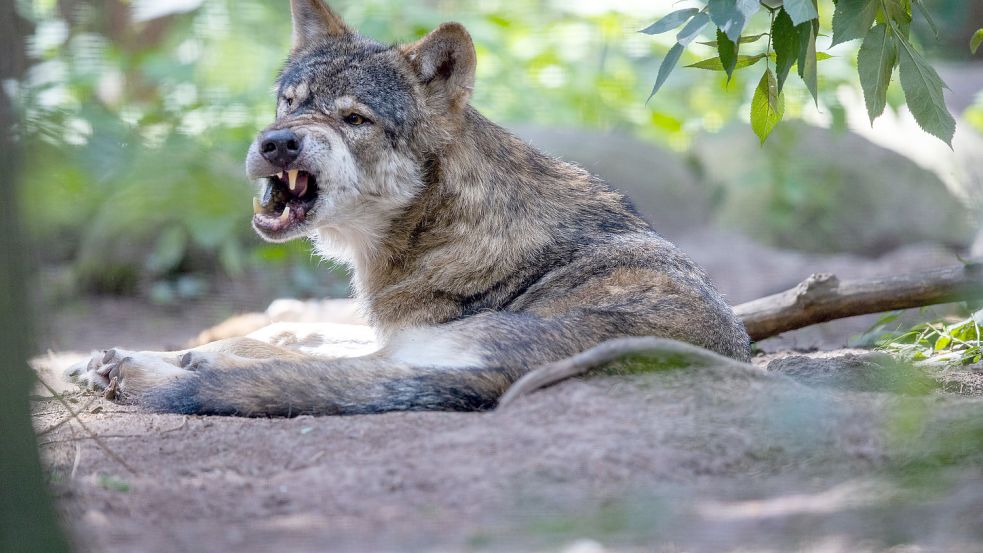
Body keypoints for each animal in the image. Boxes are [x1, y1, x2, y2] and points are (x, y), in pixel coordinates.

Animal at [65, 0, 748, 414]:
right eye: (291, 101)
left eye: (354, 119)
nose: (279, 142)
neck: (436, 225)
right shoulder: (392, 332)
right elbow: (304, 333)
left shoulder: (405, 339)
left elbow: (294, 350)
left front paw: (173, 358)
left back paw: (154, 369)